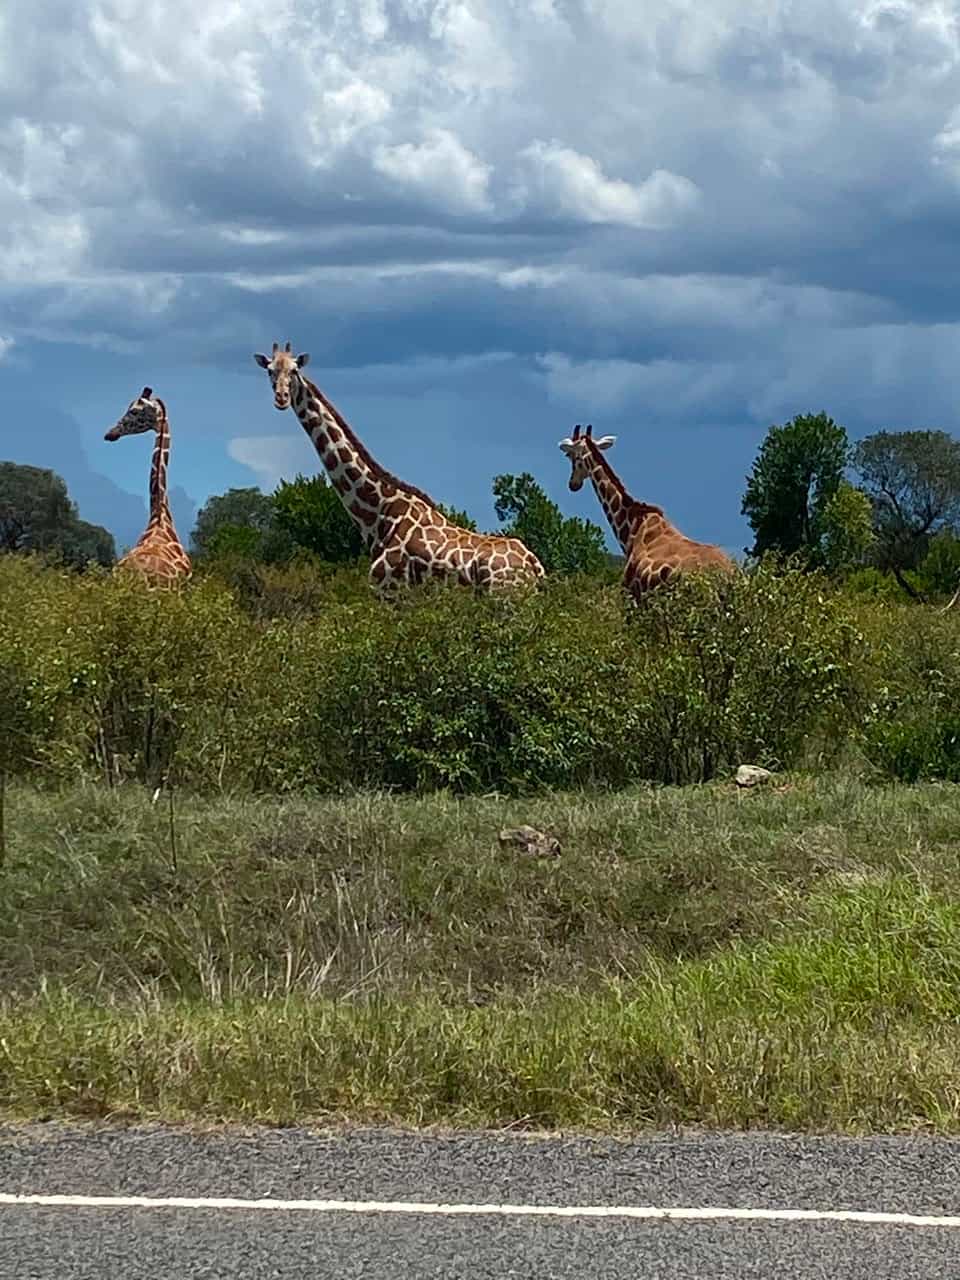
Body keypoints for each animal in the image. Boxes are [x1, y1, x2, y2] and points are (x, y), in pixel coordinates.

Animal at [253, 342, 545, 593]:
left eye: (294, 370)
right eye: (270, 370)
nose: (281, 398)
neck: (378, 516)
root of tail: (535, 566)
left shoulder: (390, 590)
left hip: (504, 597)